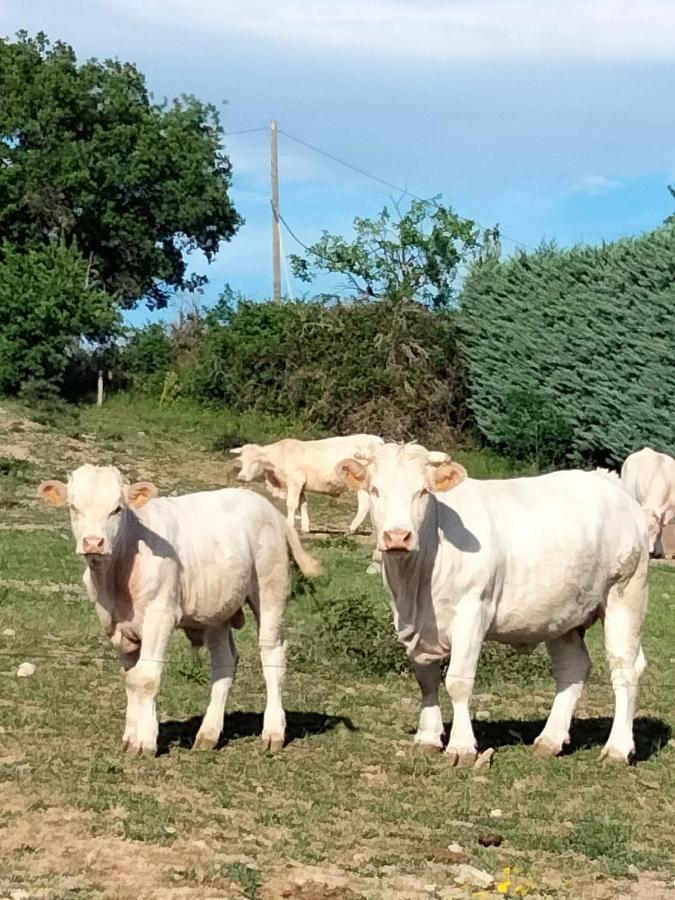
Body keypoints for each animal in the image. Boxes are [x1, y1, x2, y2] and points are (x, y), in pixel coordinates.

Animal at [38, 468, 324, 756]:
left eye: (117, 509)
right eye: (74, 507)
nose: (93, 543)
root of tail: (270, 510)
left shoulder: (160, 616)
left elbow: (147, 678)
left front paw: (145, 741)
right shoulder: (116, 626)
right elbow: (131, 679)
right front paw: (130, 737)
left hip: (270, 590)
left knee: (272, 653)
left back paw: (273, 732)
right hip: (218, 609)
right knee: (224, 661)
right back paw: (208, 734)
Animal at [230, 434, 382, 536]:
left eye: (256, 461)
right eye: (242, 460)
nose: (241, 477)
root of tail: (376, 440)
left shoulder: (295, 481)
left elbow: (291, 504)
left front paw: (290, 525)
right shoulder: (301, 485)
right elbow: (302, 504)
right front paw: (304, 527)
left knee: (364, 506)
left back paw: (351, 530)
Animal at [338, 442, 648, 768]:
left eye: (422, 491)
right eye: (375, 490)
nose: (397, 536)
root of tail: (608, 482)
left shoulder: (472, 610)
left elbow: (458, 681)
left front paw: (461, 746)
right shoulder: (413, 625)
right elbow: (426, 679)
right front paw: (428, 737)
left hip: (625, 591)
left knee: (625, 667)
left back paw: (617, 749)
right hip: (563, 613)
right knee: (573, 667)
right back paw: (549, 740)